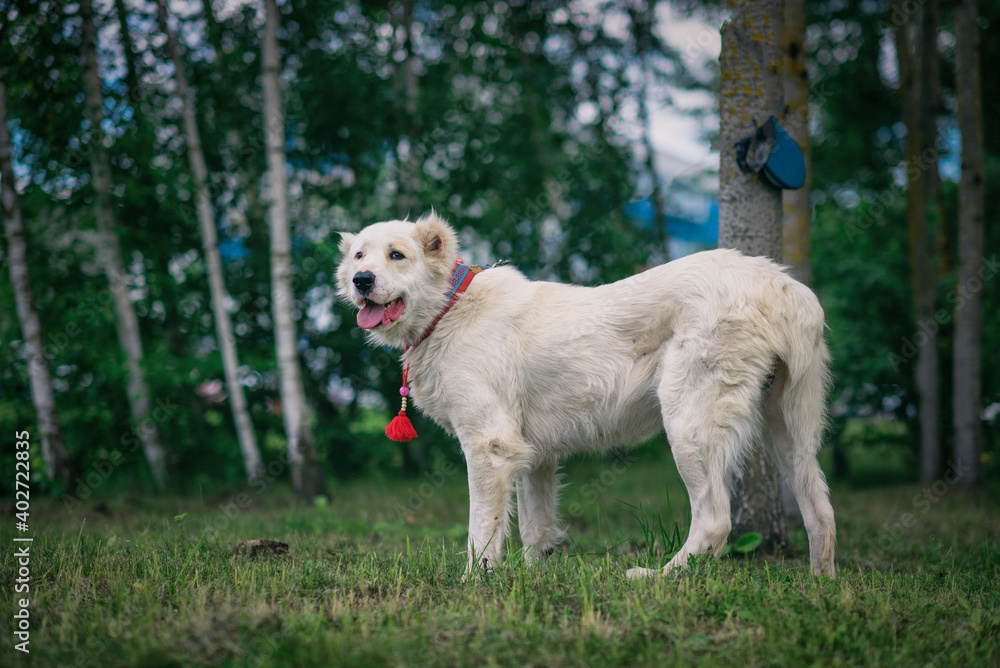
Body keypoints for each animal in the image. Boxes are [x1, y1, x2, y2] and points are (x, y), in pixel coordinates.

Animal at [336, 211, 836, 576]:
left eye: (397, 255)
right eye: (360, 255)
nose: (361, 280)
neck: (449, 309)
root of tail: (782, 283)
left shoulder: (488, 446)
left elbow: (483, 530)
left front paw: (475, 583)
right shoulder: (532, 456)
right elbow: (535, 529)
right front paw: (532, 578)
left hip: (689, 424)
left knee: (714, 520)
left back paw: (659, 578)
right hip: (790, 430)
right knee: (820, 513)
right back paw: (820, 586)